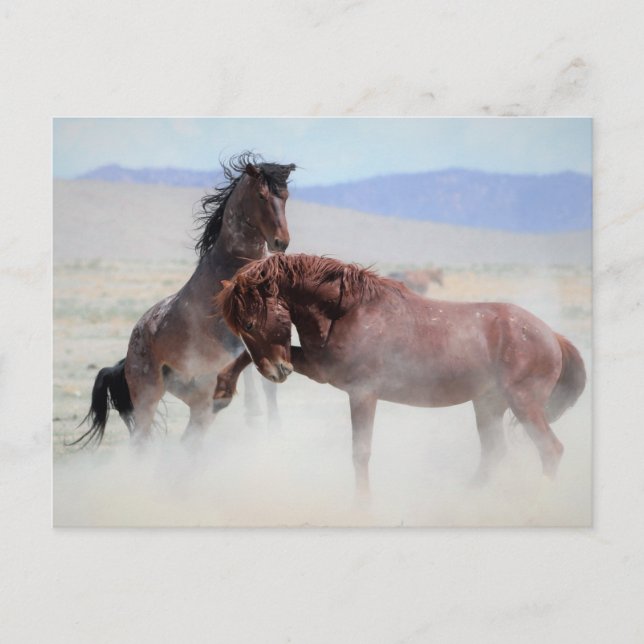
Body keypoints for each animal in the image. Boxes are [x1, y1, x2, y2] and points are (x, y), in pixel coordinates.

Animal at [71, 153, 296, 447]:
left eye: (286, 196)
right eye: (261, 195)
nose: (281, 242)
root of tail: (133, 342)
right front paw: (253, 411)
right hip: (148, 396)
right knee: (142, 439)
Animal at [211, 253, 586, 494]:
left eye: (249, 323)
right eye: (239, 327)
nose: (276, 372)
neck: (348, 312)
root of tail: (552, 335)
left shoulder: (361, 392)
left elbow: (360, 453)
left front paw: (363, 506)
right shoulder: (319, 367)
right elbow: (243, 360)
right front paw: (221, 391)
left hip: (524, 404)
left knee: (550, 450)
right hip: (488, 405)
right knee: (494, 453)